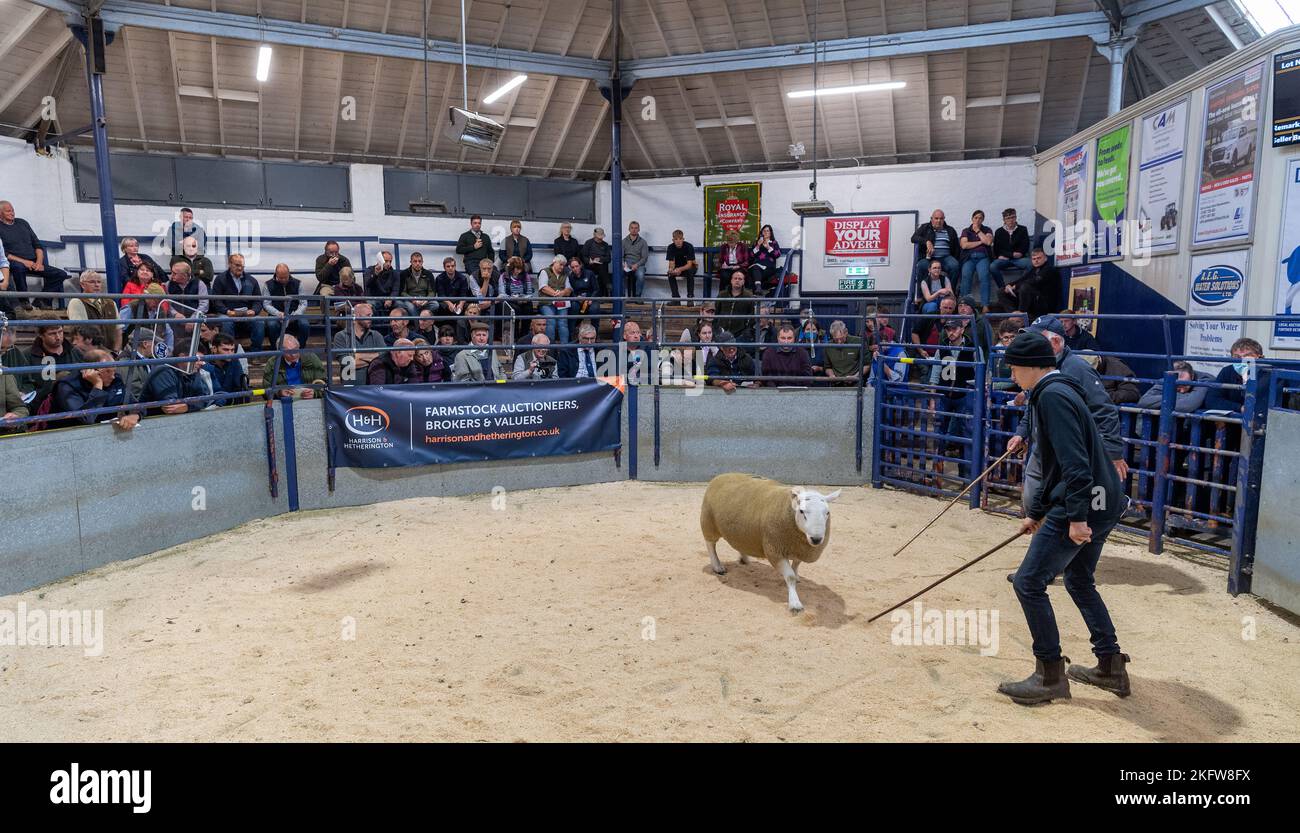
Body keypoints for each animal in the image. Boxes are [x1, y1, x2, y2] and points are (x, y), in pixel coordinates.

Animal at [702, 473, 842, 610]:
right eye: (801, 511)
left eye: (827, 512)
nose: (816, 539)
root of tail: (721, 475)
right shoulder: (775, 551)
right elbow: (790, 577)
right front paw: (795, 603)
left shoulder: (800, 549)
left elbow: (796, 566)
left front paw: (797, 577)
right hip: (709, 522)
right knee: (710, 545)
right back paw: (717, 567)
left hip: (741, 531)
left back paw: (744, 559)